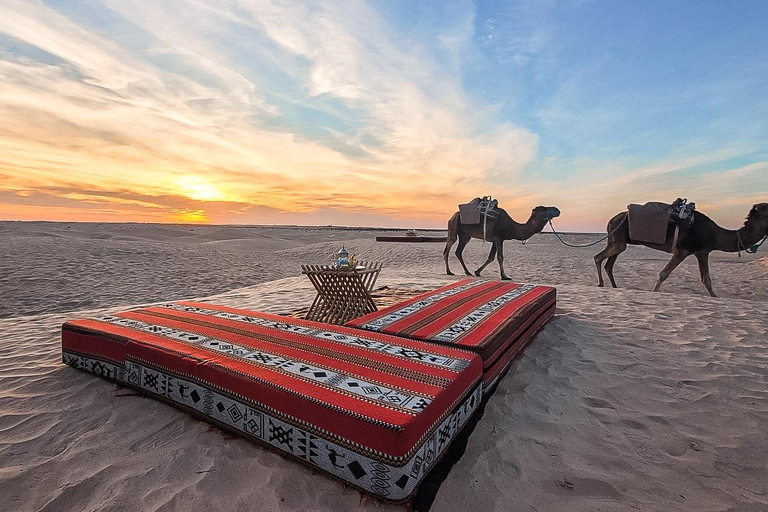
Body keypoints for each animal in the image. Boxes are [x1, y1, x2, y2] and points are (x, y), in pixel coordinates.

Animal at [592, 200, 768, 296]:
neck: (714, 234)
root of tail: (611, 220)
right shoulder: (682, 250)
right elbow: (663, 274)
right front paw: (654, 293)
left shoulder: (702, 252)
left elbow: (706, 279)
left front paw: (715, 297)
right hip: (618, 240)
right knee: (598, 258)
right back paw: (601, 284)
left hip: (617, 241)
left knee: (608, 264)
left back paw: (614, 287)